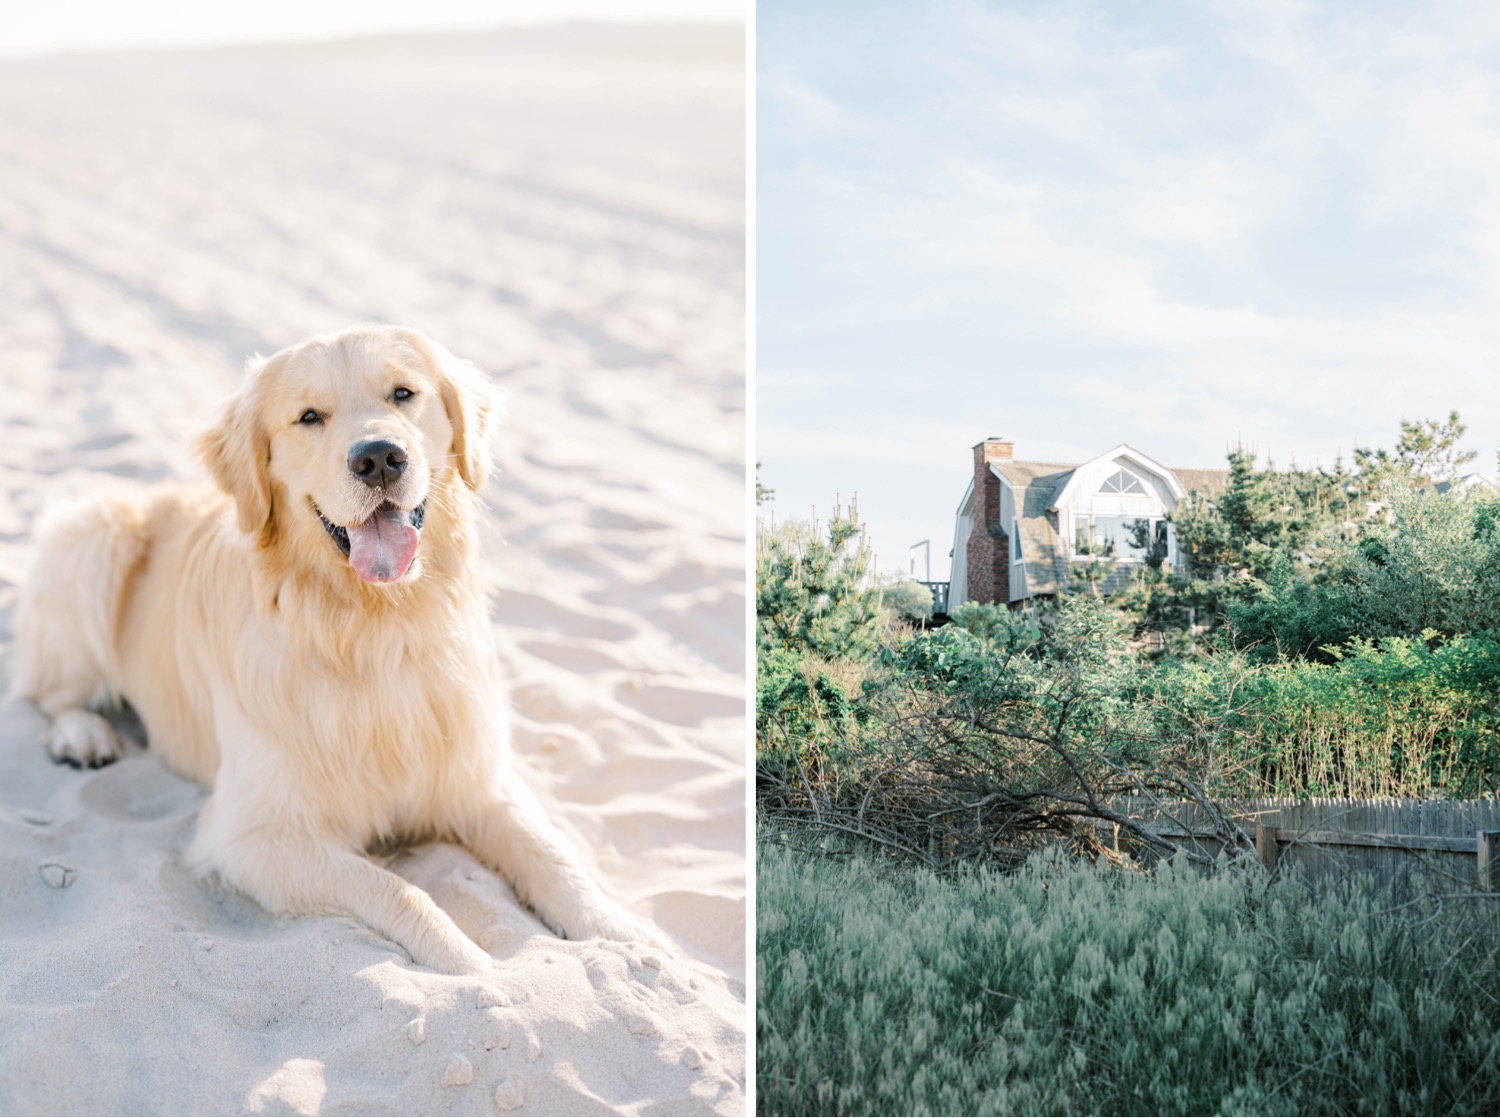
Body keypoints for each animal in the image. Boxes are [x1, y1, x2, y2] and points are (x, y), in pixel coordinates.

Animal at [11, 327, 654, 972]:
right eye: (308, 417)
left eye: (403, 393)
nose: (379, 458)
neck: (377, 627)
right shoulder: (252, 836)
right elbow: (398, 889)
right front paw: (471, 967)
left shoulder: (478, 781)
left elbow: (551, 852)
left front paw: (621, 931)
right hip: (92, 535)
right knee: (48, 694)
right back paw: (82, 735)